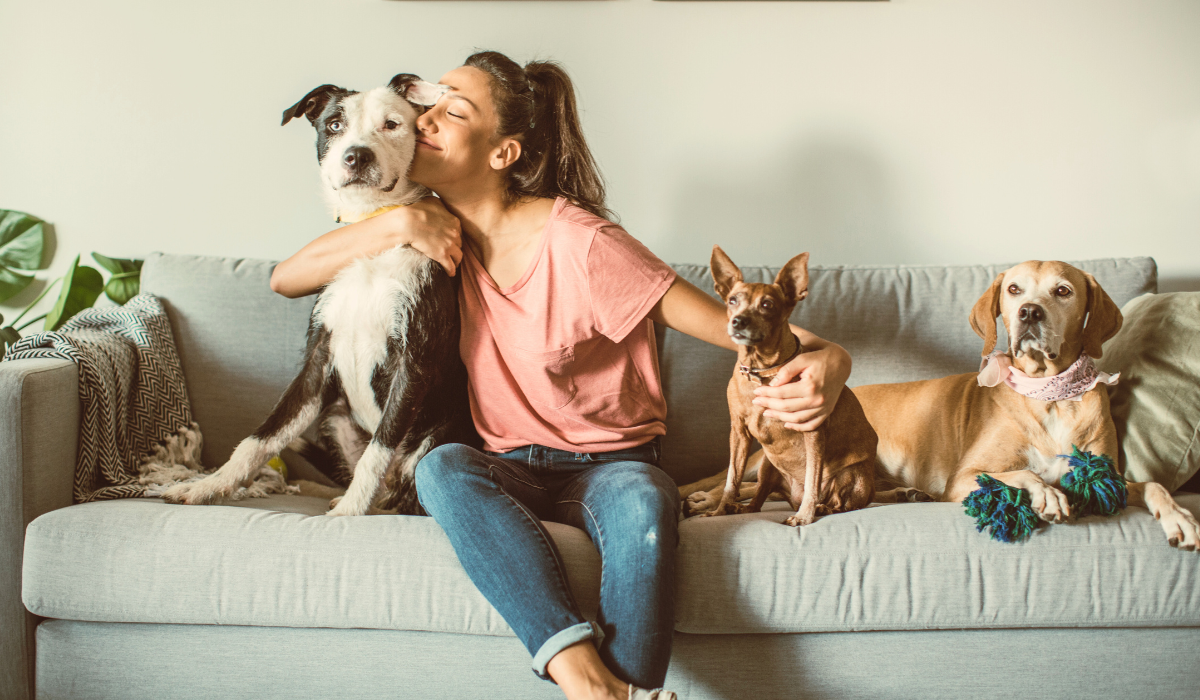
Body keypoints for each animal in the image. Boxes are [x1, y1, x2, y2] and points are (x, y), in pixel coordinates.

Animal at [164, 73, 472, 518]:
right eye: (334, 125)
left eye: (392, 124)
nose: (356, 156)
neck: (371, 234)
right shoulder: (317, 360)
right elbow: (261, 437)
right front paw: (207, 486)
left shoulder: (413, 363)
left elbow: (378, 449)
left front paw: (348, 513)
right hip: (334, 417)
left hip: (436, 434)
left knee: (408, 496)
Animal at [700, 246, 878, 525]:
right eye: (732, 300)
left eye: (767, 305)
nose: (738, 321)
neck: (761, 371)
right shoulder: (738, 433)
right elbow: (732, 479)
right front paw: (720, 511)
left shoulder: (813, 431)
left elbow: (813, 479)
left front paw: (804, 516)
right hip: (767, 465)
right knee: (758, 500)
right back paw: (741, 508)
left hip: (853, 474)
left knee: (842, 503)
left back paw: (823, 508)